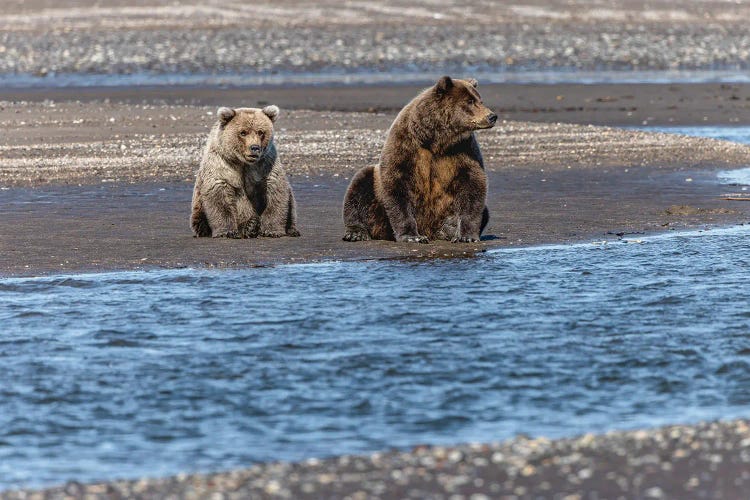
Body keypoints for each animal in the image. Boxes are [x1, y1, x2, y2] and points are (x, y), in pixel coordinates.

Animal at [189, 105, 302, 238]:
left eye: (260, 132)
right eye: (243, 132)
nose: (254, 148)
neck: (243, 163)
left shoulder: (265, 165)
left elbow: (275, 192)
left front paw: (271, 230)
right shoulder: (222, 165)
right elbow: (220, 198)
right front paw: (227, 231)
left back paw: (291, 230)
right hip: (198, 207)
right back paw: (249, 226)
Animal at [342, 74, 496, 244]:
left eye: (480, 100)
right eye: (470, 101)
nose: (492, 116)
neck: (436, 139)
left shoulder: (463, 150)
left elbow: (472, 185)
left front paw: (465, 236)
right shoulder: (406, 146)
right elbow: (397, 186)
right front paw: (412, 236)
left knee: (485, 211)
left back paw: (448, 228)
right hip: (376, 203)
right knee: (359, 187)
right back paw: (356, 232)